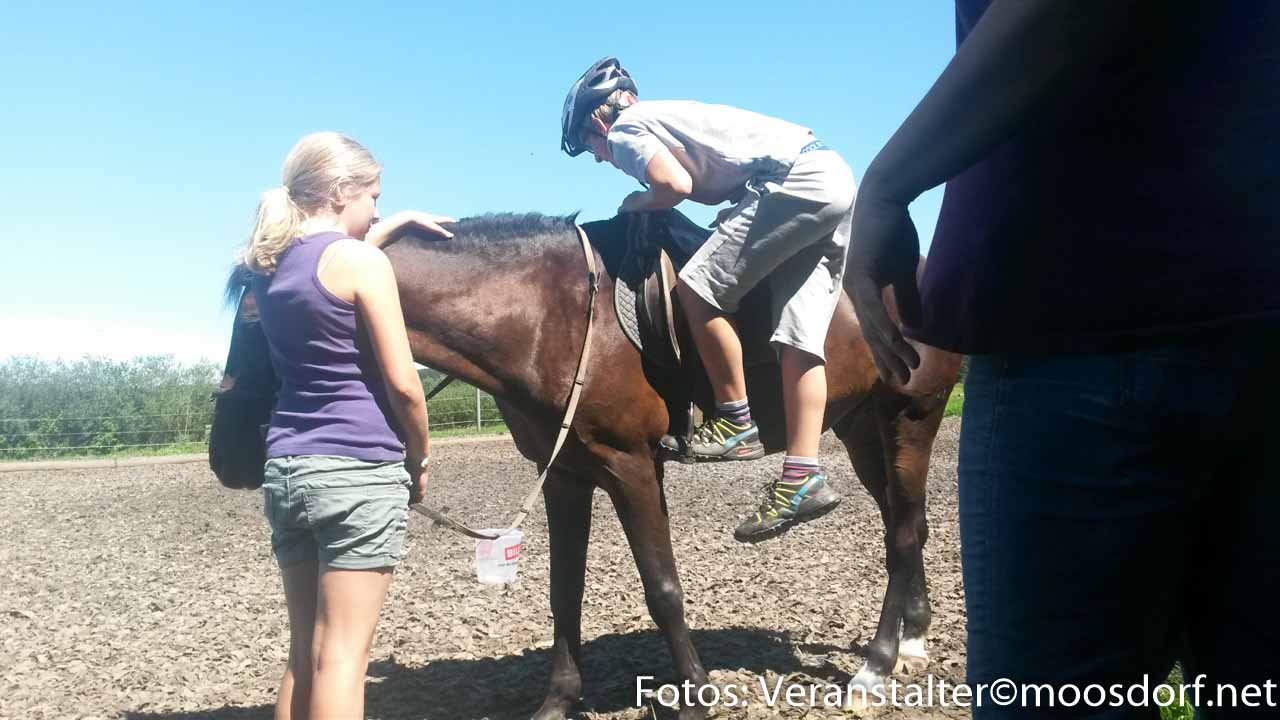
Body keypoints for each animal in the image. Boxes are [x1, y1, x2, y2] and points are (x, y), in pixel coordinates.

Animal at [209, 209, 961, 719]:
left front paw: (697, 694)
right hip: (862, 428)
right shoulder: (567, 476)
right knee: (907, 525)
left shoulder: (631, 468)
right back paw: (914, 638)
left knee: (901, 535)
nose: (226, 459)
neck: (551, 316)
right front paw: (559, 701)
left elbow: (662, 588)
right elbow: (562, 592)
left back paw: (877, 665)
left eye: (258, 325)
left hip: (910, 418)